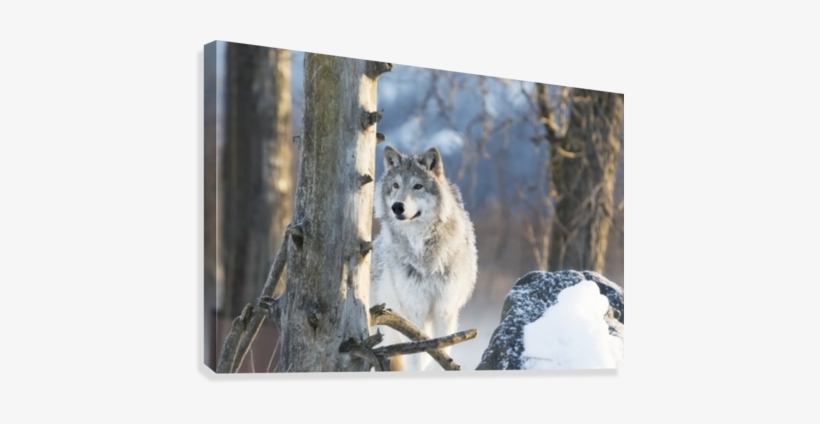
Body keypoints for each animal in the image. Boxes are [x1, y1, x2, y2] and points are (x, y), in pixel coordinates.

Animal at [370, 145, 478, 372]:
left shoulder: (445, 312)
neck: (426, 258)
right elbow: (417, 357)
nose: (397, 207)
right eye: (395, 185)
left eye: (418, 186)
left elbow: (440, 351)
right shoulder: (414, 312)